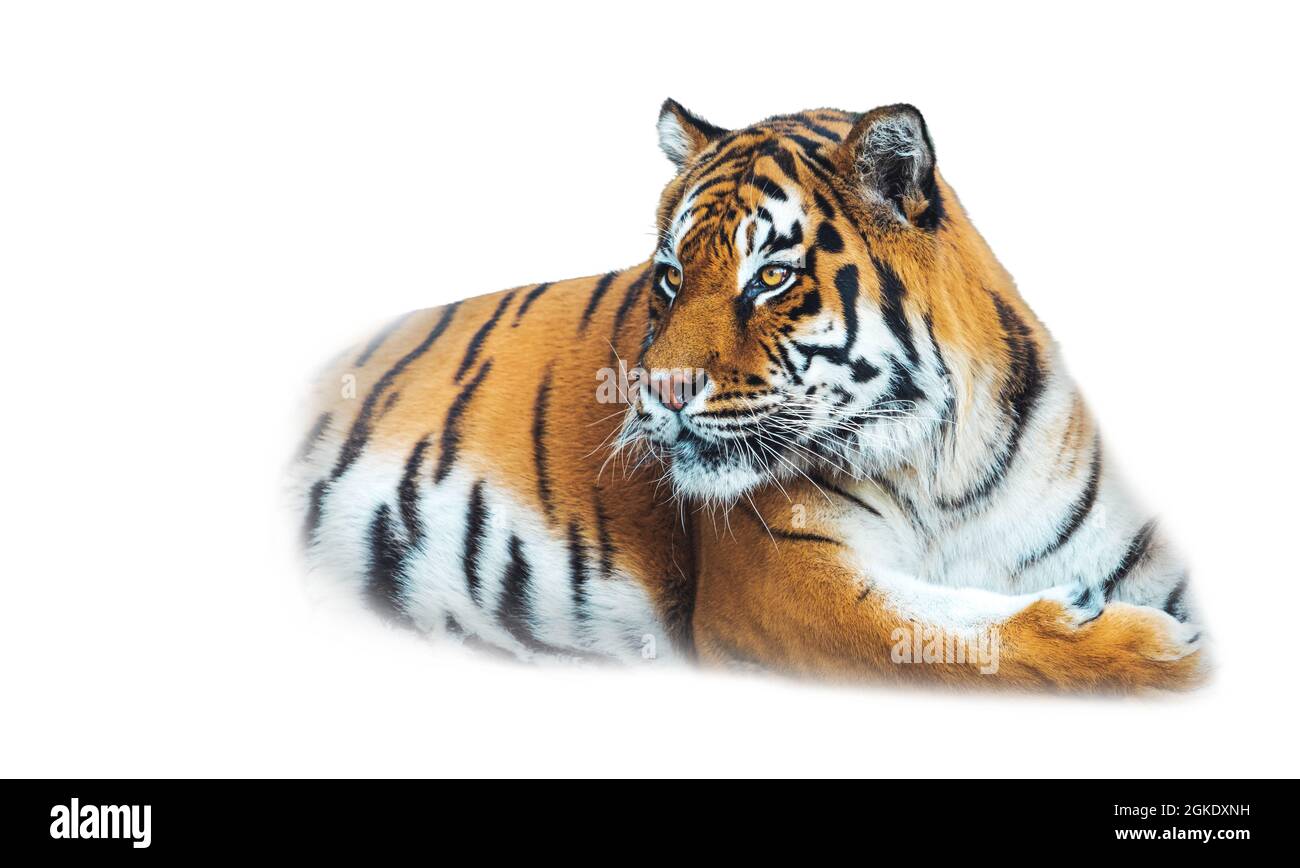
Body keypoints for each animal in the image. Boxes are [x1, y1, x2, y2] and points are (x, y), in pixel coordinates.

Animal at [294, 100, 1205, 692]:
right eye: (669, 276)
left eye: (769, 277)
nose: (657, 392)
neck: (946, 463)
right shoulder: (780, 581)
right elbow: (948, 637)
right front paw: (1161, 658)